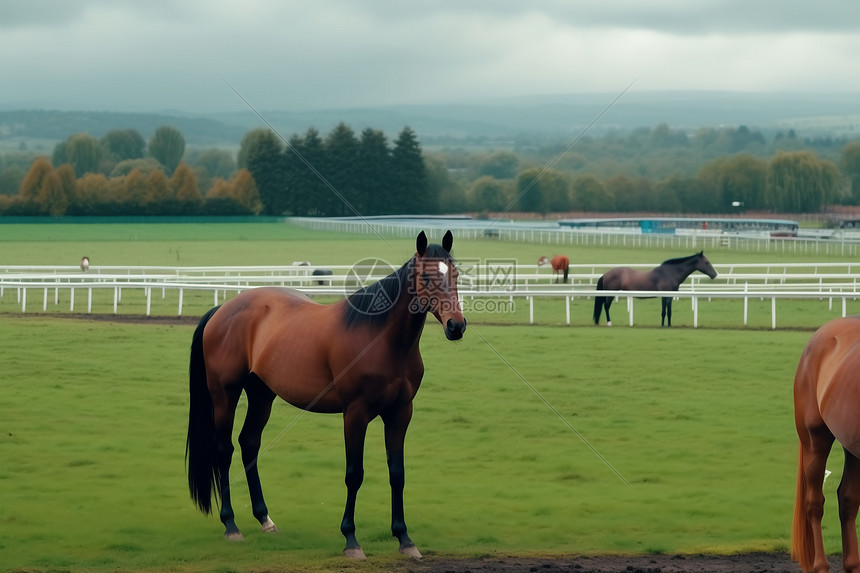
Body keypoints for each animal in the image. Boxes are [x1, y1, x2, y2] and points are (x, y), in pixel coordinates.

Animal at [186, 229, 466, 560]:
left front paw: (404, 538)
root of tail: (222, 311)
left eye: (456, 273)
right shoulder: (355, 414)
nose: (456, 325)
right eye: (425, 276)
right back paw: (231, 525)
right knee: (224, 450)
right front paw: (351, 540)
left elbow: (397, 473)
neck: (380, 338)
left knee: (249, 444)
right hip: (225, 395)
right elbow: (354, 474)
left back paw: (265, 519)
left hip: (262, 395)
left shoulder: (400, 413)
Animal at [592, 250, 720, 326]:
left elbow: (669, 312)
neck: (670, 273)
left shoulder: (670, 297)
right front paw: (663, 325)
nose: (715, 275)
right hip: (610, 294)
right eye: (707, 262)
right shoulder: (664, 296)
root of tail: (605, 274)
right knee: (606, 307)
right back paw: (609, 322)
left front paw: (669, 325)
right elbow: (664, 312)